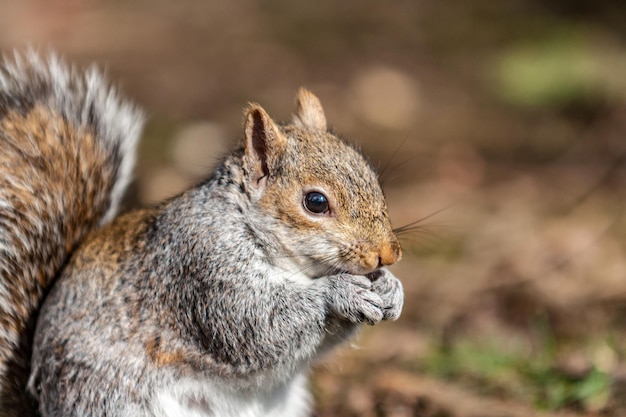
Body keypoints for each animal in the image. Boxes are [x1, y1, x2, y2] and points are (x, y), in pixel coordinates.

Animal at [0, 51, 400, 416]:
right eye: (315, 202)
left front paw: (391, 288)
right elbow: (256, 325)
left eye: (371, 174)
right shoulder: (202, 266)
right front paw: (341, 291)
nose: (389, 254)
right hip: (112, 402)